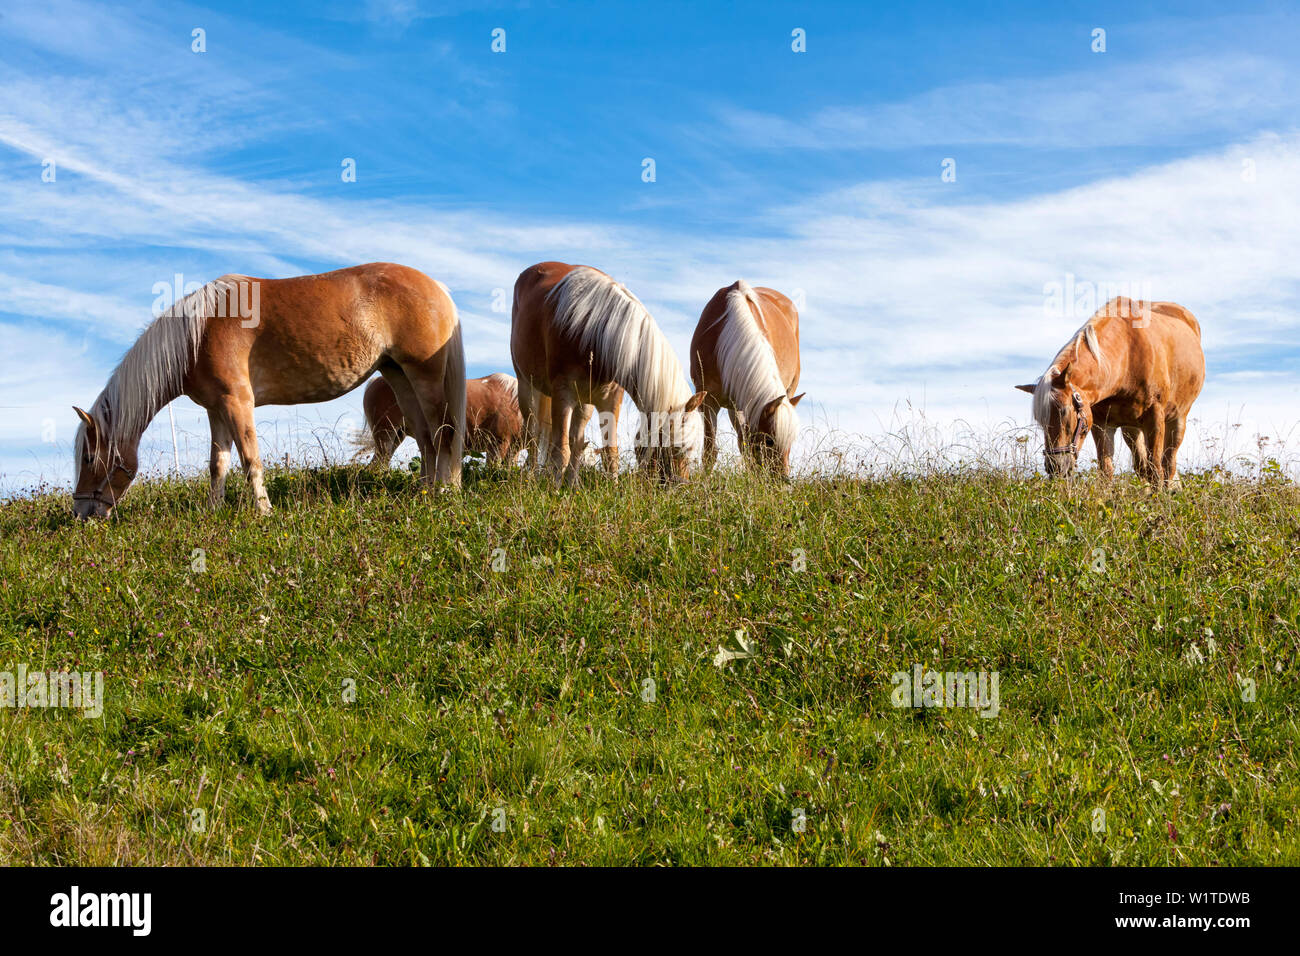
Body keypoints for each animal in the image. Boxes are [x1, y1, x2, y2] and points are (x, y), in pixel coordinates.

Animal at [72, 262, 465, 518]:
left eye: (89, 457)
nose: (81, 513)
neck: (199, 332)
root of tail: (437, 288)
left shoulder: (238, 403)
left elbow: (250, 459)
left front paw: (263, 512)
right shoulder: (217, 409)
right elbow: (218, 464)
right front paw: (213, 512)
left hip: (424, 376)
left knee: (443, 432)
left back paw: (444, 492)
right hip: (398, 376)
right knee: (426, 438)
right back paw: (425, 492)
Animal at [510, 261, 705, 485]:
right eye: (679, 447)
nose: (682, 485)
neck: (594, 333)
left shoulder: (610, 401)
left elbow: (610, 453)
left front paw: (613, 486)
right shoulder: (562, 395)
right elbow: (560, 451)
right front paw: (553, 488)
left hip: (584, 402)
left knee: (576, 440)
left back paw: (572, 484)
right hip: (528, 388)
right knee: (534, 435)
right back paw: (534, 477)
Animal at [689, 280, 803, 478]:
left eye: (790, 441)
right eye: (769, 440)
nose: (782, 479)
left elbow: (746, 447)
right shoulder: (708, 401)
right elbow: (710, 451)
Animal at [1016, 297, 1204, 489]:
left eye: (1064, 412)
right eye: (1040, 420)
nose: (1055, 467)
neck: (1127, 356)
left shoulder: (1155, 418)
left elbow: (1155, 470)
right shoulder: (1102, 425)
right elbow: (1107, 472)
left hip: (1177, 418)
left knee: (1168, 464)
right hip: (1132, 428)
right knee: (1141, 465)